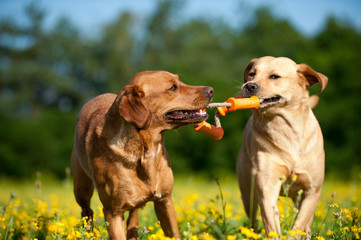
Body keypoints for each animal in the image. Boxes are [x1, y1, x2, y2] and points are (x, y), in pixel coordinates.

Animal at [70, 70, 212, 239]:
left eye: (180, 81)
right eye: (173, 87)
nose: (211, 90)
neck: (146, 152)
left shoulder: (164, 201)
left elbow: (174, 233)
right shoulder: (113, 212)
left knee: (133, 219)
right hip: (81, 189)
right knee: (87, 213)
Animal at [235, 56, 328, 238]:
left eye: (274, 76)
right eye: (252, 74)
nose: (249, 85)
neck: (286, 128)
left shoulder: (311, 190)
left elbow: (299, 224)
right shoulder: (267, 187)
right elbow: (272, 224)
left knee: (307, 224)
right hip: (248, 193)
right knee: (253, 219)